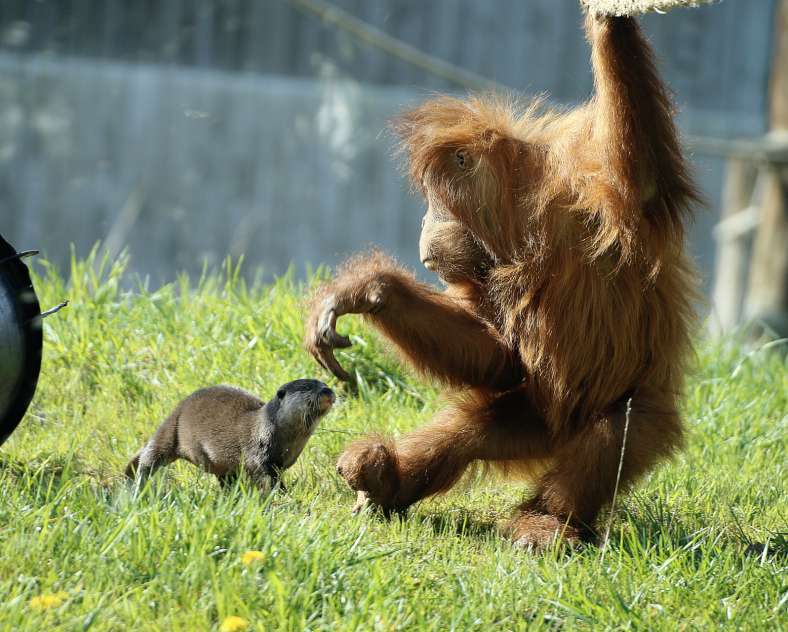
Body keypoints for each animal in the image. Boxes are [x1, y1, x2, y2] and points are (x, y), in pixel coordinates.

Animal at [124, 378, 334, 492]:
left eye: (324, 383)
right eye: (306, 387)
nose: (327, 390)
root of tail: (178, 407)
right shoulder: (258, 454)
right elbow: (268, 477)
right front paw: (282, 495)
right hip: (170, 430)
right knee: (150, 455)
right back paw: (137, 485)